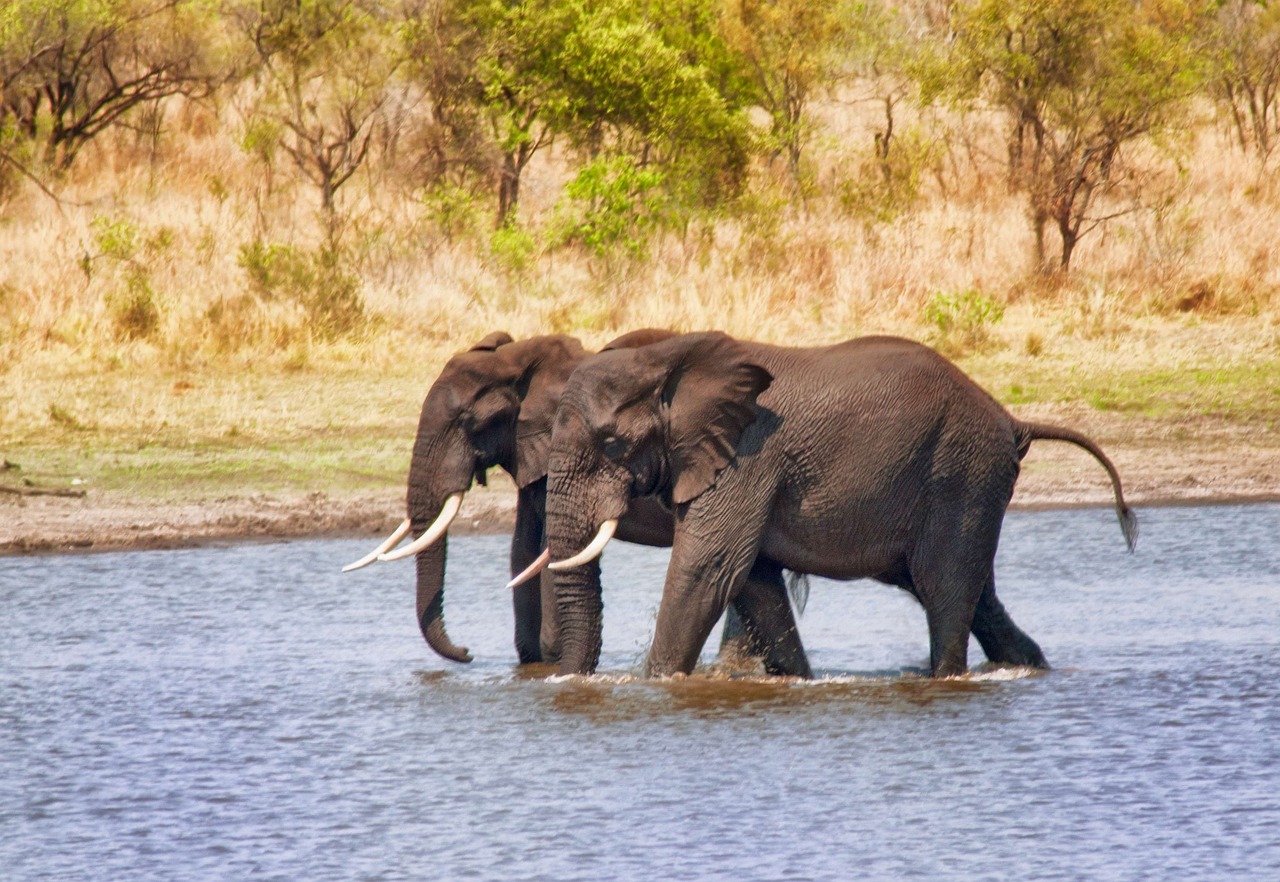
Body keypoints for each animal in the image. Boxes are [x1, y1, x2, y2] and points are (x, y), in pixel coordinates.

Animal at [340, 330, 808, 675]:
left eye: (468, 422)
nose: (467, 653)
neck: (521, 361)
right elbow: (522, 552)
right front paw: (532, 659)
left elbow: (544, 554)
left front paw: (548, 660)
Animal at [524, 332, 1136, 675]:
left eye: (611, 444)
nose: (570, 684)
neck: (664, 361)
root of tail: (1012, 420)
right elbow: (755, 584)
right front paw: (800, 682)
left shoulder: (748, 455)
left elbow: (708, 569)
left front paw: (654, 684)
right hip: (969, 485)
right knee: (976, 597)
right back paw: (1033, 669)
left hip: (962, 474)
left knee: (945, 594)